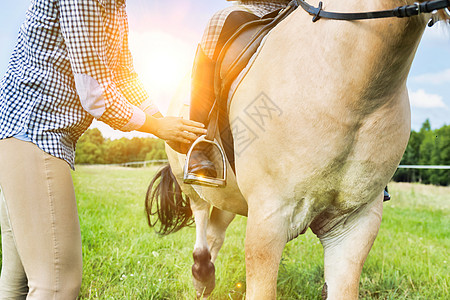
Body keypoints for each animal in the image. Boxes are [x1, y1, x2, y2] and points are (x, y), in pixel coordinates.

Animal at [146, 1, 448, 298]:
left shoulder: (354, 225)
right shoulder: (269, 219)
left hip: (231, 195)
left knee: (215, 230)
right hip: (189, 177)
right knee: (200, 215)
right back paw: (201, 271)